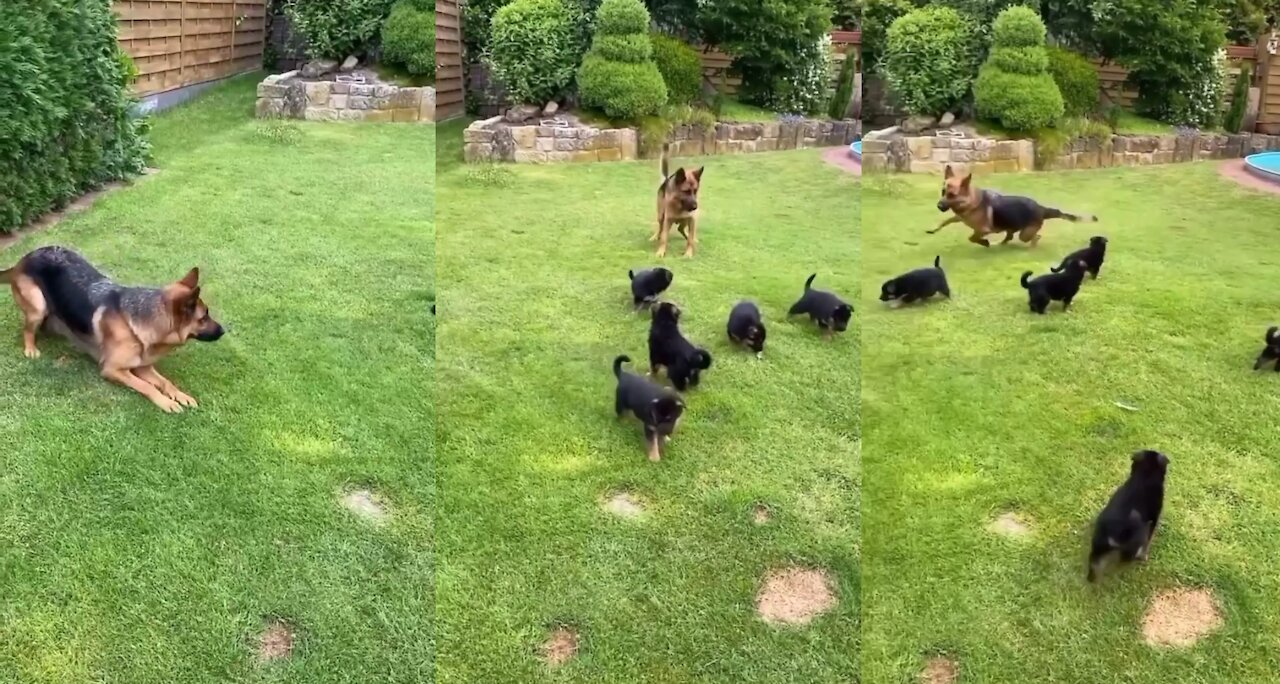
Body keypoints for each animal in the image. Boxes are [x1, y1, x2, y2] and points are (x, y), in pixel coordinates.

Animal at [1, 248, 225, 415]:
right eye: (203, 318)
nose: (224, 330)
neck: (137, 322)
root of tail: (25, 257)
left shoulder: (143, 366)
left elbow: (165, 382)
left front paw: (181, 395)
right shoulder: (112, 369)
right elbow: (147, 386)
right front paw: (166, 402)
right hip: (38, 306)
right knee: (27, 329)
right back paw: (31, 348)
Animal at [926, 166, 1095, 249]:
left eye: (952, 195)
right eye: (943, 192)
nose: (939, 205)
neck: (971, 201)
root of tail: (1041, 208)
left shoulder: (982, 229)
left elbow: (972, 237)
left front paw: (984, 243)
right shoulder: (958, 217)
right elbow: (944, 222)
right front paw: (933, 230)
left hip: (1025, 233)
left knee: (1033, 237)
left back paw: (1031, 245)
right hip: (1011, 227)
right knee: (1010, 236)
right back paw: (1002, 244)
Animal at [1090, 450, 1172, 584]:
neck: (1145, 477)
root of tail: (1113, 533)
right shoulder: (1154, 519)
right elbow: (1149, 540)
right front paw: (1144, 556)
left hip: (1098, 546)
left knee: (1094, 565)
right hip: (1133, 542)